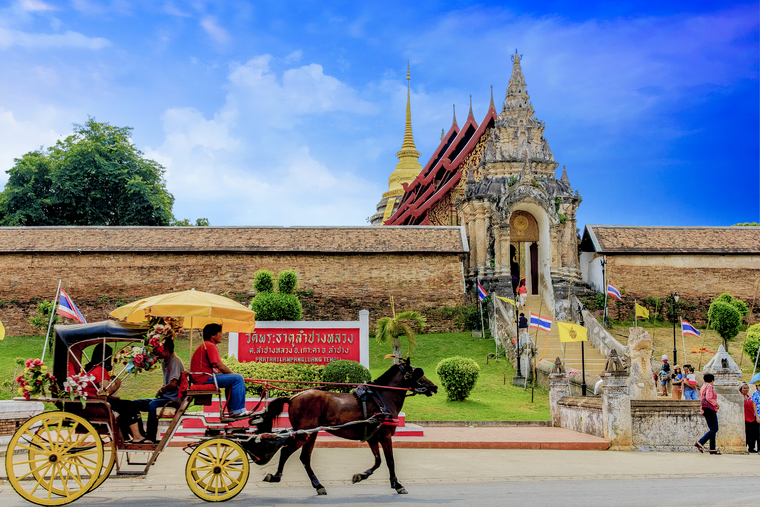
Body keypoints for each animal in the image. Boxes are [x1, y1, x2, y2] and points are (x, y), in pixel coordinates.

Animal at [258, 362, 436, 496]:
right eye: (418, 374)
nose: (434, 387)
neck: (382, 399)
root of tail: (292, 397)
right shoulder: (385, 436)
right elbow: (390, 461)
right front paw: (397, 484)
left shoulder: (372, 437)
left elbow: (378, 461)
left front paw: (360, 475)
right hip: (304, 434)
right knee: (286, 451)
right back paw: (277, 476)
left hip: (311, 433)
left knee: (304, 458)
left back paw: (318, 485)